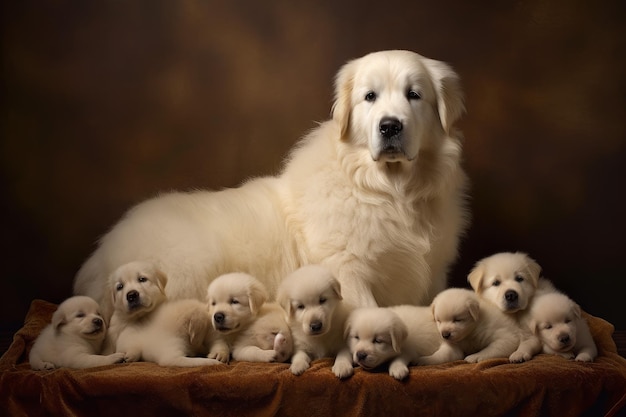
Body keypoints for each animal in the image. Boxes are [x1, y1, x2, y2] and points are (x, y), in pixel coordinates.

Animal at [73, 49, 466, 316]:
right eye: (369, 97)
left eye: (414, 94)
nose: (390, 126)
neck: (389, 190)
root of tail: (101, 253)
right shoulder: (347, 269)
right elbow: (368, 310)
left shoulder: (434, 268)